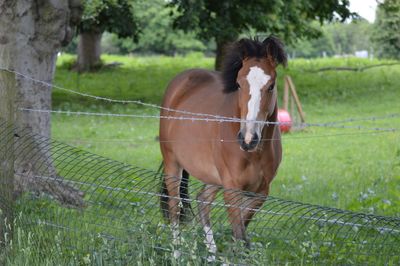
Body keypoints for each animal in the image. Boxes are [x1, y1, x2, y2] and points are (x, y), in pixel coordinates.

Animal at [158, 35, 286, 258]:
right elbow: (240, 233)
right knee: (175, 208)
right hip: (172, 164)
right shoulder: (232, 189)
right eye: (239, 84)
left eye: (271, 85)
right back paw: (177, 255)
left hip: (213, 177)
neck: (254, 154)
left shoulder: (261, 192)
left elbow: (241, 230)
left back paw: (212, 254)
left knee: (202, 201)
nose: (248, 139)